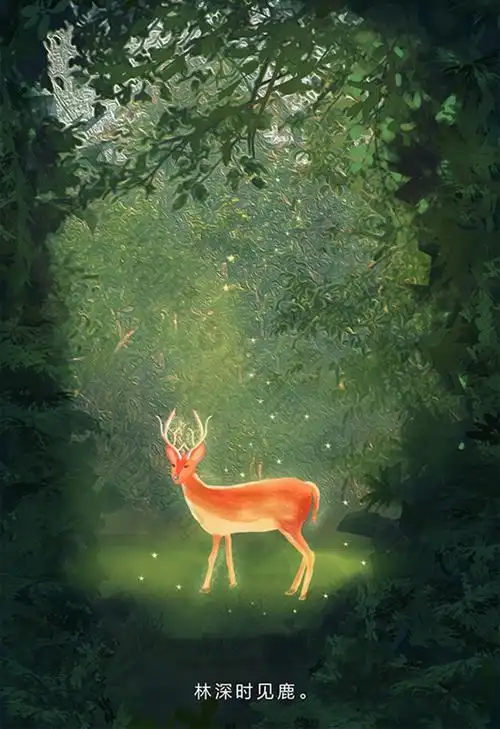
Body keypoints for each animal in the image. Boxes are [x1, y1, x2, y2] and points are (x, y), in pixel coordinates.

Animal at [156, 409, 320, 600]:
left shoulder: (216, 529)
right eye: (173, 464)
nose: (175, 477)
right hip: (289, 527)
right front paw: (233, 584)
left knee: (310, 554)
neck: (205, 498)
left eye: (188, 465)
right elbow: (228, 555)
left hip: (291, 525)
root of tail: (309, 487)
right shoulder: (227, 531)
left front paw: (205, 588)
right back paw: (291, 590)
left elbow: (212, 557)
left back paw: (302, 595)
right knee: (304, 554)